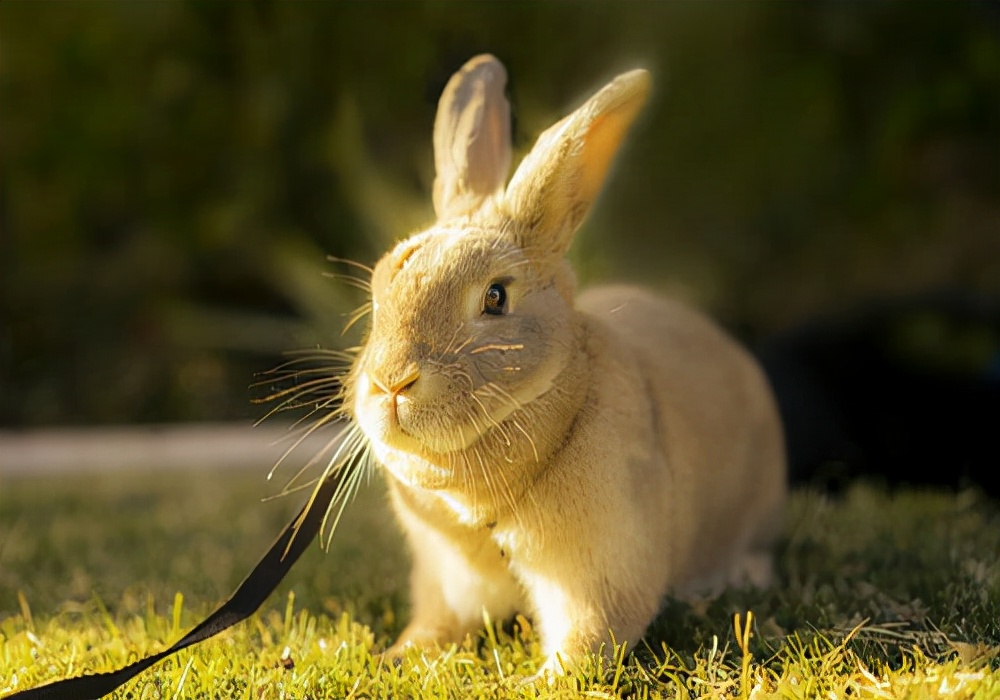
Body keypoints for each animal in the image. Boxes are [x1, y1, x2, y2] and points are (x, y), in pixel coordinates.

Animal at [347, 54, 787, 675]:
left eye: (496, 297)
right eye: (381, 288)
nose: (391, 381)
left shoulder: (597, 573)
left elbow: (590, 637)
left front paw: (539, 681)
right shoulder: (445, 581)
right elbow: (435, 625)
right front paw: (395, 655)